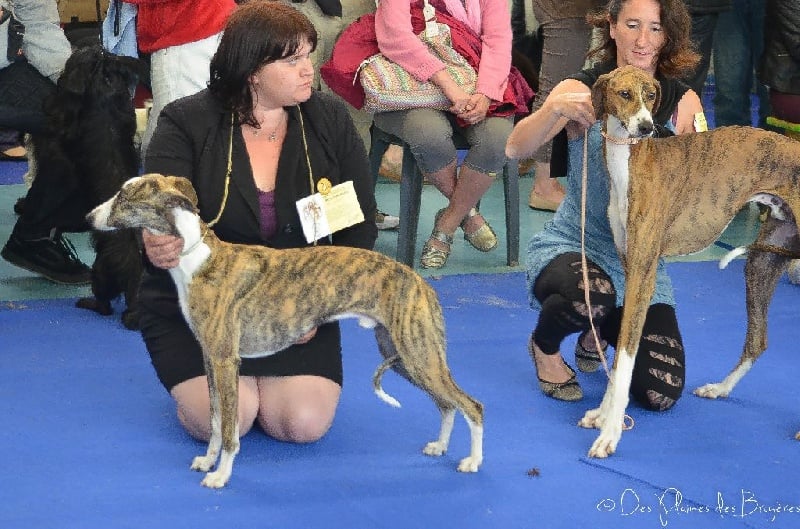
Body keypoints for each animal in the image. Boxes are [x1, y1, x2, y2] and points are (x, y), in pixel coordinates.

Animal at [580, 64, 800, 456]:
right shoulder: (628, 267)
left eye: (651, 94)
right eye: (624, 94)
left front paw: (610, 433)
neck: (632, 165)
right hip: (761, 263)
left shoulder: (644, 273)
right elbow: (620, 354)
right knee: (758, 340)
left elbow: (627, 356)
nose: (645, 128)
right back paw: (720, 388)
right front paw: (603, 416)